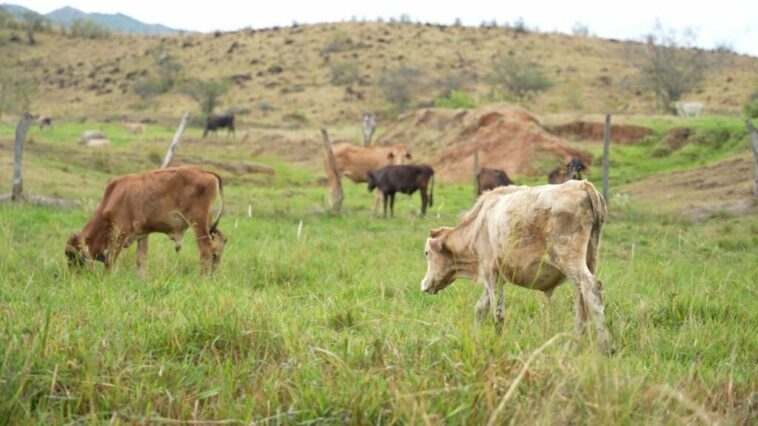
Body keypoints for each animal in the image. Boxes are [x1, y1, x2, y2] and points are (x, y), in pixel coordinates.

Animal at [66, 166, 227, 276]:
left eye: (71, 254)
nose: (72, 276)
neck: (113, 197)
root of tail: (206, 172)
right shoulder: (142, 235)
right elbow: (141, 261)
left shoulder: (119, 233)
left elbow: (110, 260)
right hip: (209, 225)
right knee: (220, 243)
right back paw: (212, 277)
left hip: (198, 223)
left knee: (206, 251)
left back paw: (201, 278)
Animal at [418, 180, 616, 352]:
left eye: (427, 253)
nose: (424, 285)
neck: (479, 224)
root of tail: (581, 185)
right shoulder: (497, 276)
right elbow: (481, 308)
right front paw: (475, 337)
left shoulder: (490, 272)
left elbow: (497, 313)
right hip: (589, 260)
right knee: (583, 300)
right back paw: (574, 346)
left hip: (569, 260)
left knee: (591, 287)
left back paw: (605, 347)